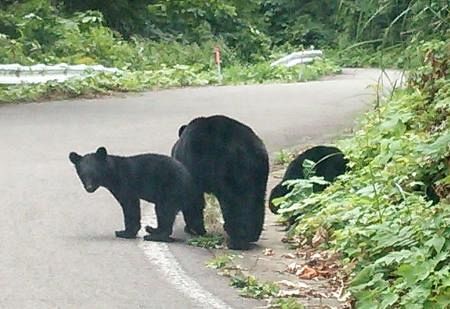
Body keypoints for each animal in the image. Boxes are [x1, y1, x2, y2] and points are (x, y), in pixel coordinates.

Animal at [68, 146, 206, 241]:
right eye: (82, 175)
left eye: (94, 174)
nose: (89, 188)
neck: (112, 174)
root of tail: (190, 181)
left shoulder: (125, 184)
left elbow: (130, 206)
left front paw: (125, 232)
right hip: (189, 200)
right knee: (193, 214)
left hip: (171, 190)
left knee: (164, 211)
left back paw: (155, 235)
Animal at [171, 115, 268, 250]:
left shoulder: (191, 165)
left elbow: (193, 198)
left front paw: (194, 229)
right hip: (259, 174)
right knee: (256, 200)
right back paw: (252, 235)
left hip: (228, 169)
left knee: (234, 202)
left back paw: (237, 240)